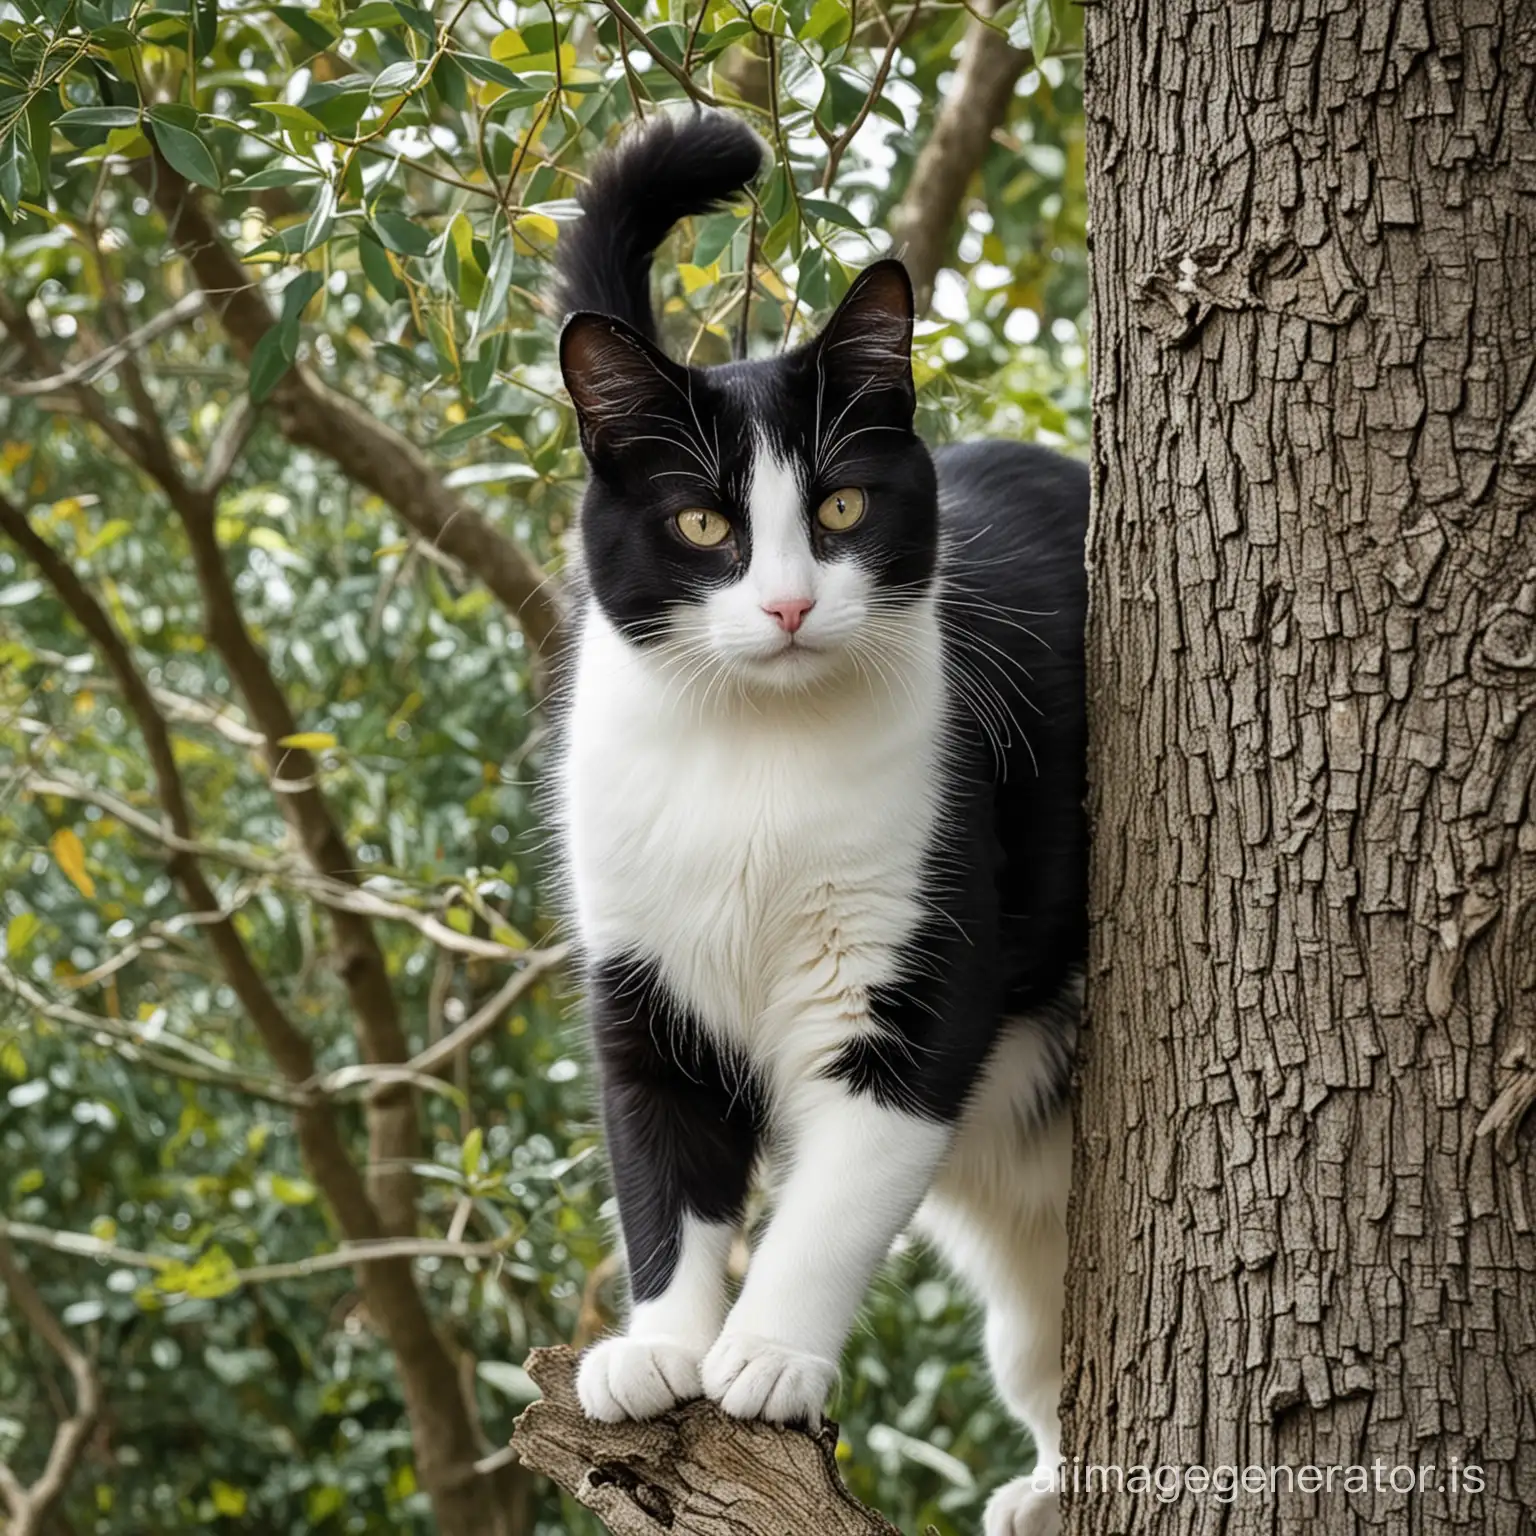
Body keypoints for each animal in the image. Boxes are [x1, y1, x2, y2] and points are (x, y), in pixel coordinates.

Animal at [546, 111, 1087, 1536]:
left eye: (841, 506)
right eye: (701, 521)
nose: (789, 605)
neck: (755, 752)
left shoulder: (914, 975)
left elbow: (839, 1193)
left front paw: (769, 1355)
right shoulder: (642, 975)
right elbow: (661, 1162)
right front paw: (662, 1350)